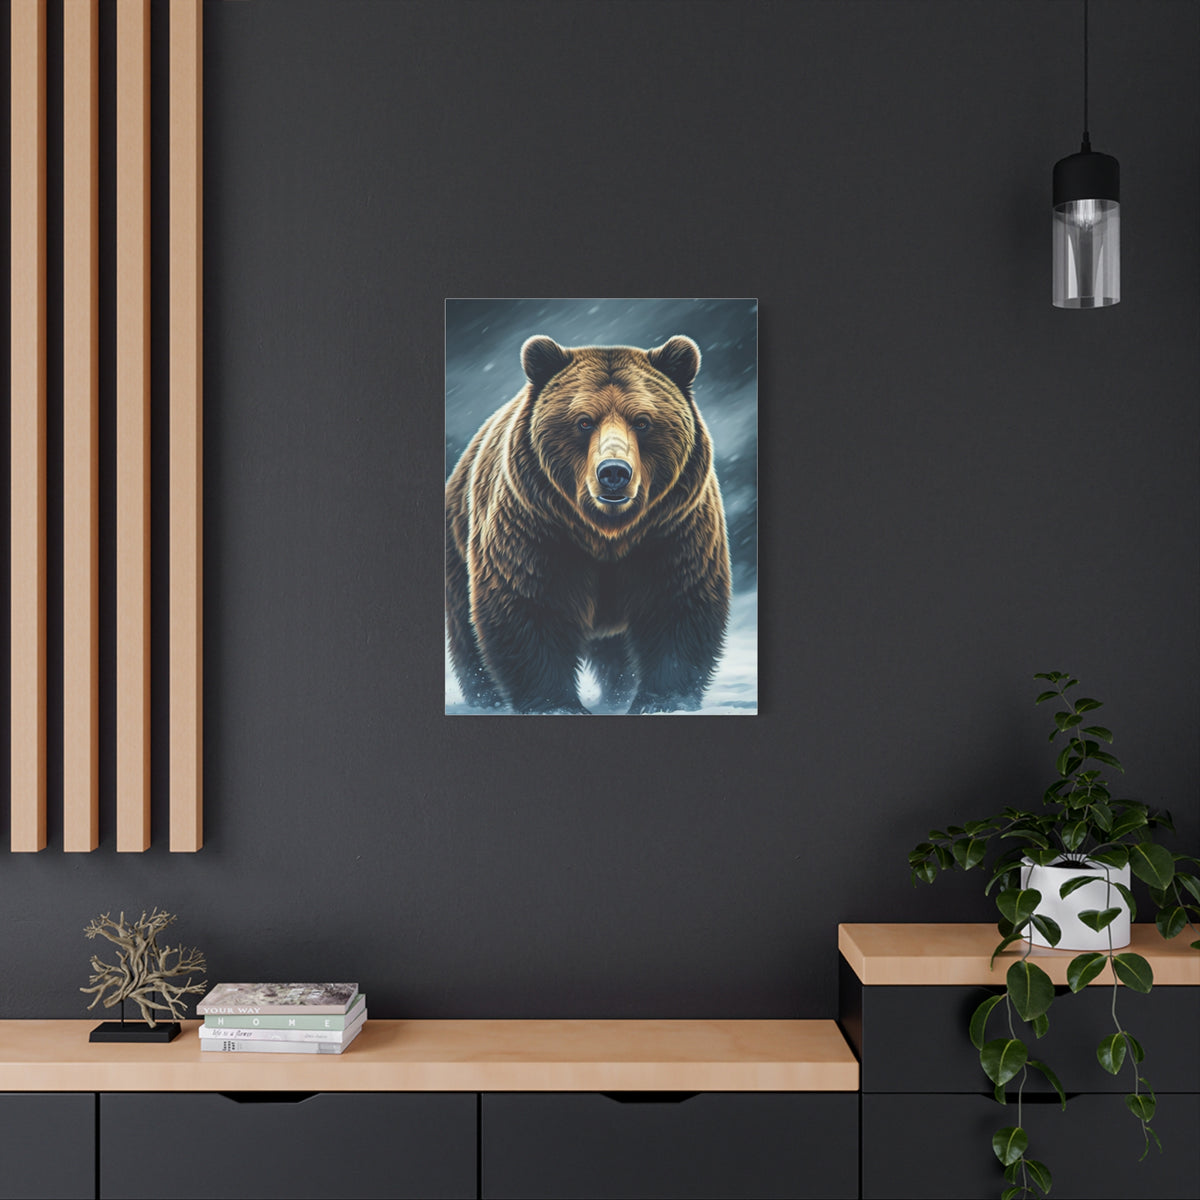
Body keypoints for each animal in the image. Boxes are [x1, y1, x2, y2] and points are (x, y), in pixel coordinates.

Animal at [445, 333, 731, 715]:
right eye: (583, 421)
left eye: (642, 421)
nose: (614, 472)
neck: (607, 533)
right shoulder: (535, 527)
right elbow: (529, 605)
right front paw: (555, 703)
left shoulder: (672, 529)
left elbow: (678, 603)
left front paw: (663, 701)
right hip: (459, 543)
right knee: (467, 632)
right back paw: (485, 699)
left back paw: (618, 694)